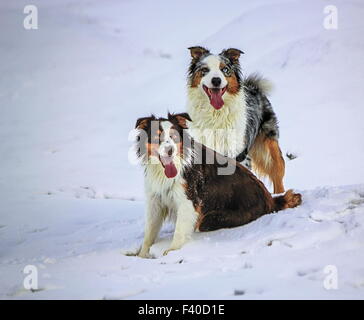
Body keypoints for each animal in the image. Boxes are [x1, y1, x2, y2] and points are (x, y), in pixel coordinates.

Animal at [134, 112, 302, 258]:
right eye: (157, 137)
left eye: (174, 137)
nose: (170, 151)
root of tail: (270, 200)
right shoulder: (155, 201)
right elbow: (149, 232)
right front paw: (142, 255)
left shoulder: (188, 201)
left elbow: (180, 231)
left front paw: (171, 252)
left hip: (213, 218)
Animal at [188, 46, 288, 194]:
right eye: (205, 70)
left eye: (225, 69)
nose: (216, 80)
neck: (216, 114)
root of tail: (254, 87)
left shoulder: (238, 154)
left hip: (269, 146)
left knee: (277, 173)